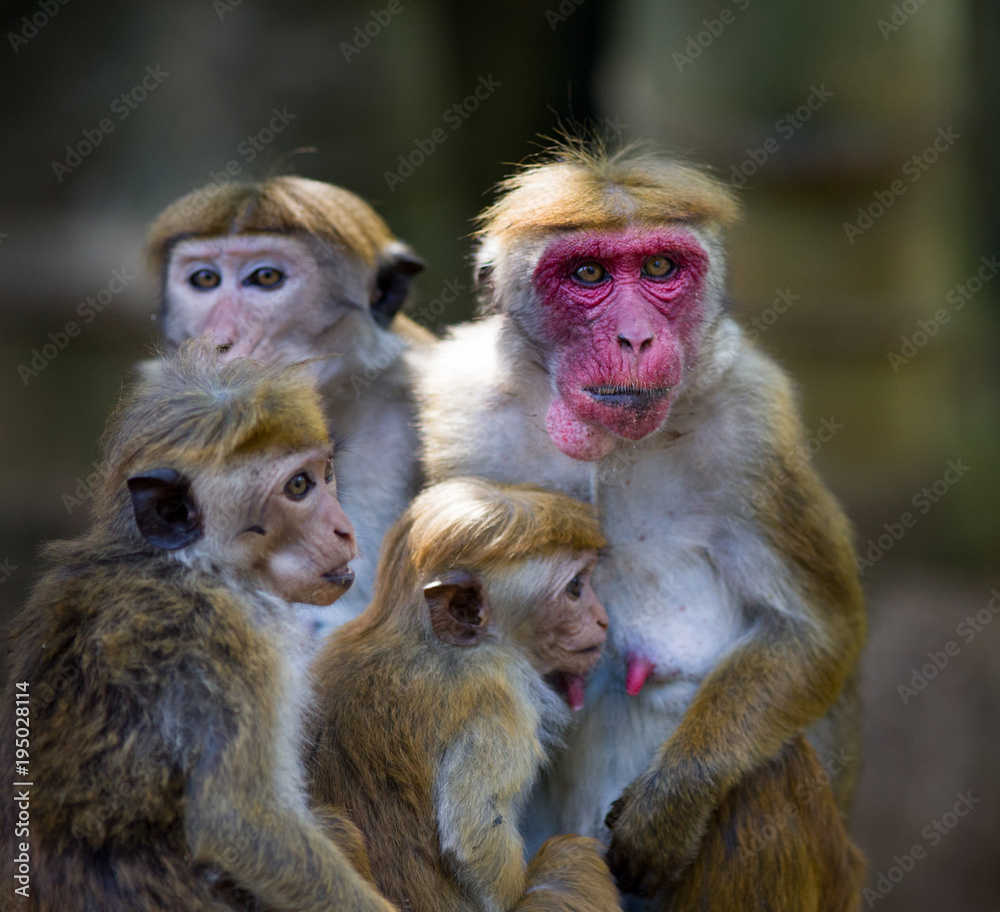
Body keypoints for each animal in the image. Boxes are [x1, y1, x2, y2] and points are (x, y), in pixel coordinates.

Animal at [0, 342, 397, 912]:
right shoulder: (230, 643)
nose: (344, 528)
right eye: (299, 487)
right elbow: (244, 824)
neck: (192, 566)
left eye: (326, 475)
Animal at [307, 477, 623, 912]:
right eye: (576, 588)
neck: (427, 640)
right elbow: (475, 836)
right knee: (571, 853)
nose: (602, 619)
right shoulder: (501, 697)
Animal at [416, 140, 867, 905]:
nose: (634, 337)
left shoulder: (754, 425)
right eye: (588, 274)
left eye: (659, 268)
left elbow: (815, 631)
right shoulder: (458, 413)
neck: (613, 450)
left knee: (767, 776)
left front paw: (673, 802)